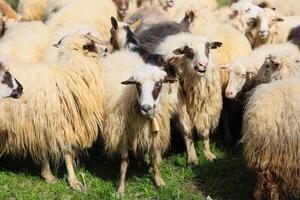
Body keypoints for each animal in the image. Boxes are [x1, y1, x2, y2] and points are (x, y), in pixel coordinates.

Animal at [0, 28, 105, 191]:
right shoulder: (44, 123)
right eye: (94, 40)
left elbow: (66, 154)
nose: (107, 50)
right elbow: (54, 153)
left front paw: (70, 181)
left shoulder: (63, 124)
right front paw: (53, 176)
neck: (68, 74)